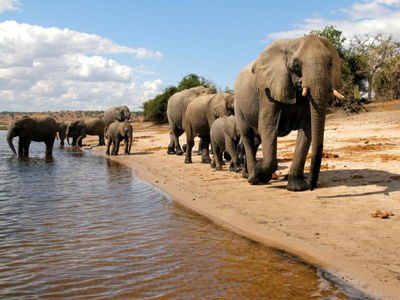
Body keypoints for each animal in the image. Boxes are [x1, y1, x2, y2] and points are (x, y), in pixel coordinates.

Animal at [233, 34, 342, 190]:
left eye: (331, 63)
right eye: (296, 65)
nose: (312, 186)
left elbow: (307, 130)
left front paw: (298, 187)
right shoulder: (268, 92)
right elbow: (268, 127)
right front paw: (261, 172)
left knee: (255, 140)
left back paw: (251, 175)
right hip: (238, 105)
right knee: (247, 135)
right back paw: (253, 178)